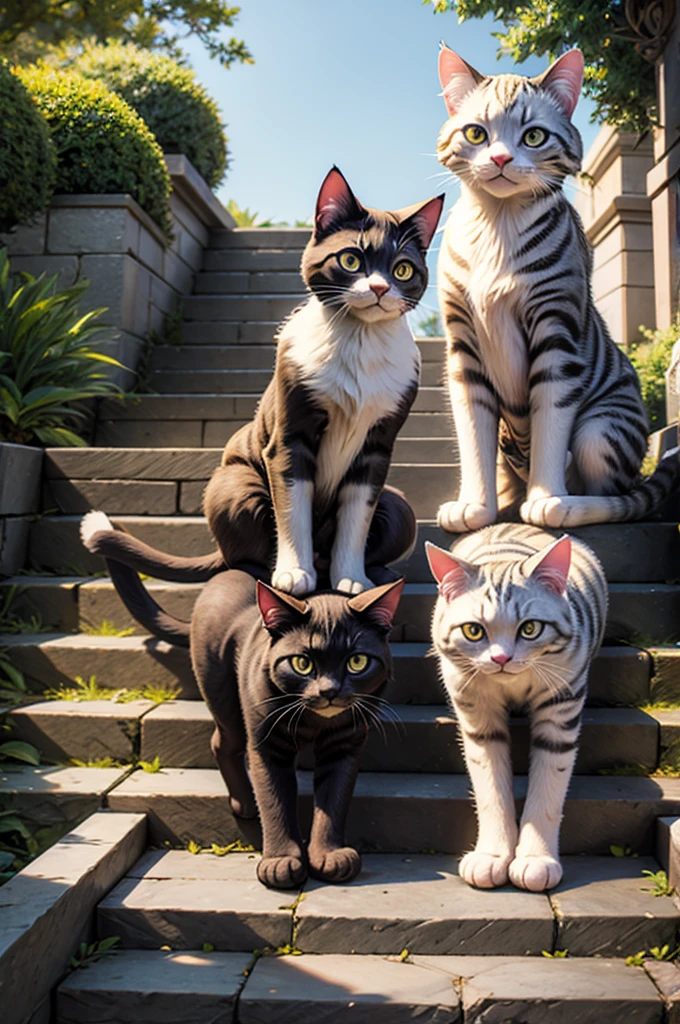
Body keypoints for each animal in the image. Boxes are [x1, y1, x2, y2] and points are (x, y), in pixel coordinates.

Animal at [80, 512, 403, 888]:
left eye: (357, 661)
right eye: (302, 663)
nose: (329, 691)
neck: (312, 722)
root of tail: (227, 572)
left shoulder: (346, 742)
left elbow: (334, 798)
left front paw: (330, 856)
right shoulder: (266, 741)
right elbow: (275, 799)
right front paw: (280, 862)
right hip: (221, 688)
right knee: (223, 741)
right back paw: (244, 803)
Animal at [426, 524, 606, 892]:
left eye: (530, 628)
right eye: (473, 630)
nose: (501, 659)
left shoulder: (562, 710)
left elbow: (549, 789)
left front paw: (537, 861)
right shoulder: (477, 717)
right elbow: (490, 790)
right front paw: (491, 857)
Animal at [432, 44, 675, 532]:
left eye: (533, 137)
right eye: (476, 133)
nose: (501, 159)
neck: (498, 223)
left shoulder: (556, 330)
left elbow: (551, 419)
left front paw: (545, 498)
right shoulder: (463, 347)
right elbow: (473, 434)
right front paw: (476, 506)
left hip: (603, 429)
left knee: (616, 498)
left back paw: (567, 502)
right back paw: (508, 499)